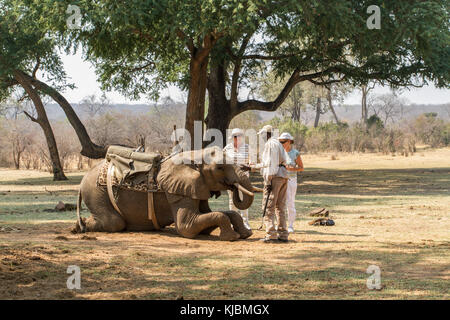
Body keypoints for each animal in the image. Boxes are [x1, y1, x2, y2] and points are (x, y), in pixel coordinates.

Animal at [71, 148, 258, 240]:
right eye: (219, 167)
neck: (194, 154)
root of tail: (82, 182)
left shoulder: (197, 186)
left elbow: (217, 214)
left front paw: (245, 235)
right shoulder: (177, 191)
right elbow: (187, 226)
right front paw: (232, 237)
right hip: (96, 192)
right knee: (115, 223)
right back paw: (78, 227)